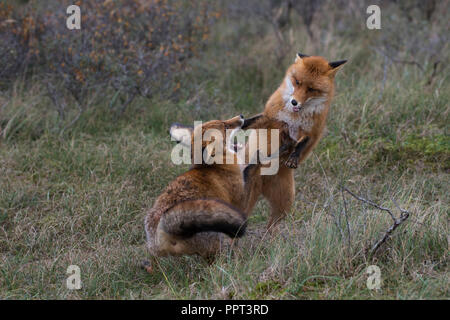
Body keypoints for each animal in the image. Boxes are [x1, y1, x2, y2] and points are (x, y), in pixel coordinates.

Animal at [243, 53, 348, 228]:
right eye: (297, 82)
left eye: (311, 89)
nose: (294, 102)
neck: (294, 117)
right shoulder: (270, 118)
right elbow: (251, 121)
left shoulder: (312, 132)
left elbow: (302, 143)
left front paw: (293, 157)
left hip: (284, 204)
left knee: (272, 226)